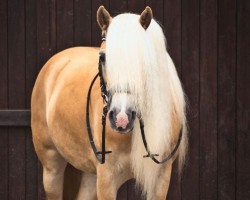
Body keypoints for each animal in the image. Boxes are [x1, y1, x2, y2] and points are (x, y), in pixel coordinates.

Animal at [31, 4, 188, 200]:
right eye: (103, 57)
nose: (121, 118)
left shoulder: (161, 177)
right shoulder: (107, 178)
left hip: (90, 175)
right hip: (52, 166)